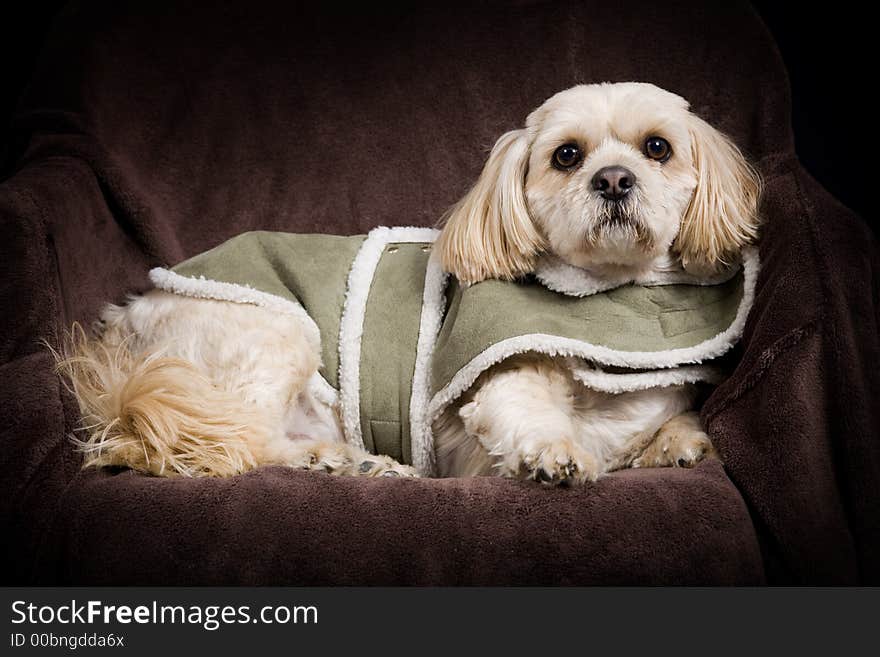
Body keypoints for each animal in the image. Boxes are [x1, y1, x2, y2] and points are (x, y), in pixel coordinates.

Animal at [55, 80, 760, 482]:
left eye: (658, 147)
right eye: (567, 156)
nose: (613, 179)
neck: (611, 295)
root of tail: (124, 337)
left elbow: (671, 421)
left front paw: (679, 444)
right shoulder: (491, 392)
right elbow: (528, 413)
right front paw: (554, 454)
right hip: (271, 332)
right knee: (228, 440)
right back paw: (329, 460)